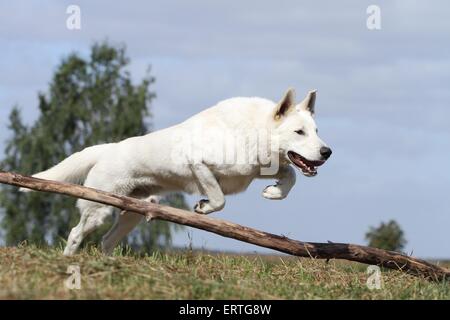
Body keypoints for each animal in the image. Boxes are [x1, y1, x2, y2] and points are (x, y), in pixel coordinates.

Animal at [22, 87, 330, 255]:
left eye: (316, 131)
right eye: (299, 132)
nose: (327, 152)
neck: (254, 131)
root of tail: (108, 148)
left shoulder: (254, 170)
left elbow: (290, 175)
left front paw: (274, 192)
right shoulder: (199, 164)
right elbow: (219, 199)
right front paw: (203, 208)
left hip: (133, 213)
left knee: (107, 241)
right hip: (99, 209)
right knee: (76, 233)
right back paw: (69, 260)